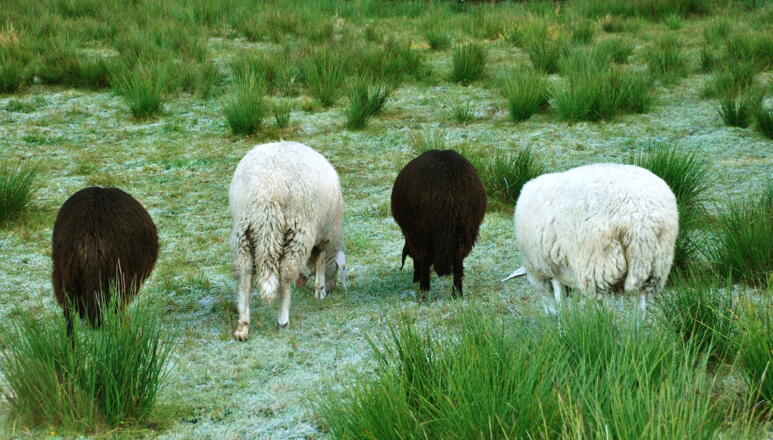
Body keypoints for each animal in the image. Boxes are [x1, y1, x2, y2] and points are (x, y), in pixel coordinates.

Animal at [229, 141, 346, 340]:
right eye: (338, 269)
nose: (332, 289)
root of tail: (267, 192)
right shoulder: (324, 234)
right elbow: (320, 260)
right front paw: (320, 289)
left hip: (243, 231)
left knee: (245, 274)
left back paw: (242, 326)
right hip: (297, 231)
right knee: (285, 274)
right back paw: (283, 320)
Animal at [391, 149, 486, 298]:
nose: (414, 279)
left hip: (422, 230)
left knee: (425, 257)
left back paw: (424, 289)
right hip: (465, 228)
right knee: (458, 260)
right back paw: (457, 292)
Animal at [503, 163, 678, 313]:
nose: (550, 315)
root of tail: (639, 218)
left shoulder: (548, 266)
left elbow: (560, 301)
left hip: (598, 265)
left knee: (603, 307)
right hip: (655, 265)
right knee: (640, 307)